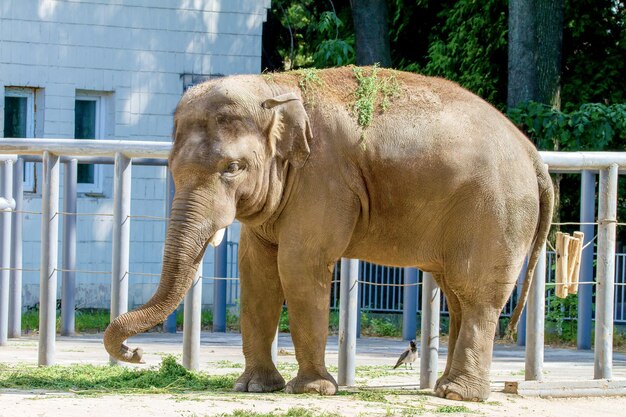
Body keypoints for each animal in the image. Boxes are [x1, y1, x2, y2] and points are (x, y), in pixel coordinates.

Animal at [102, 66, 552, 402]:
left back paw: (458, 395)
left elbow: (298, 266)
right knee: (457, 295)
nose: (136, 352)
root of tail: (533, 155)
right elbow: (257, 273)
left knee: (476, 295)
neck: (274, 88)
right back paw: (444, 389)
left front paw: (312, 390)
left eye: (232, 168)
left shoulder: (323, 178)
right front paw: (253, 388)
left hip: (496, 211)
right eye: (172, 167)